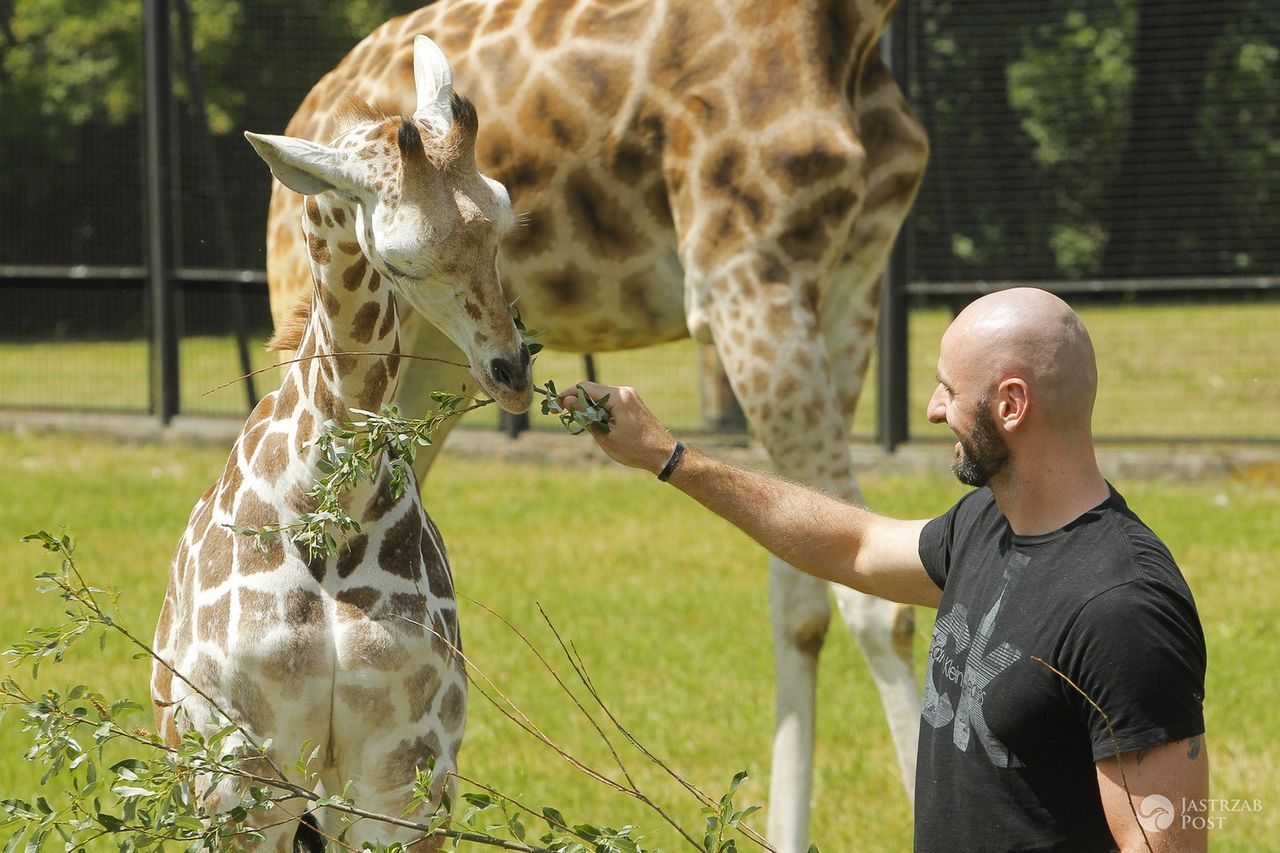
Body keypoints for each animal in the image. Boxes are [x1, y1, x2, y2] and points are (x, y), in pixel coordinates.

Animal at [151, 36, 529, 845]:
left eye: (504, 217)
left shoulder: (404, 776)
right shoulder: (238, 778)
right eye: (405, 256)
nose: (512, 371)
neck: (327, 508)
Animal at [267, 3, 931, 845]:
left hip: (431, 364)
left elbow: (806, 583)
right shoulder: (746, 276)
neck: (845, 32)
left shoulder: (848, 279)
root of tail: (312, 106)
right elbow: (878, 603)